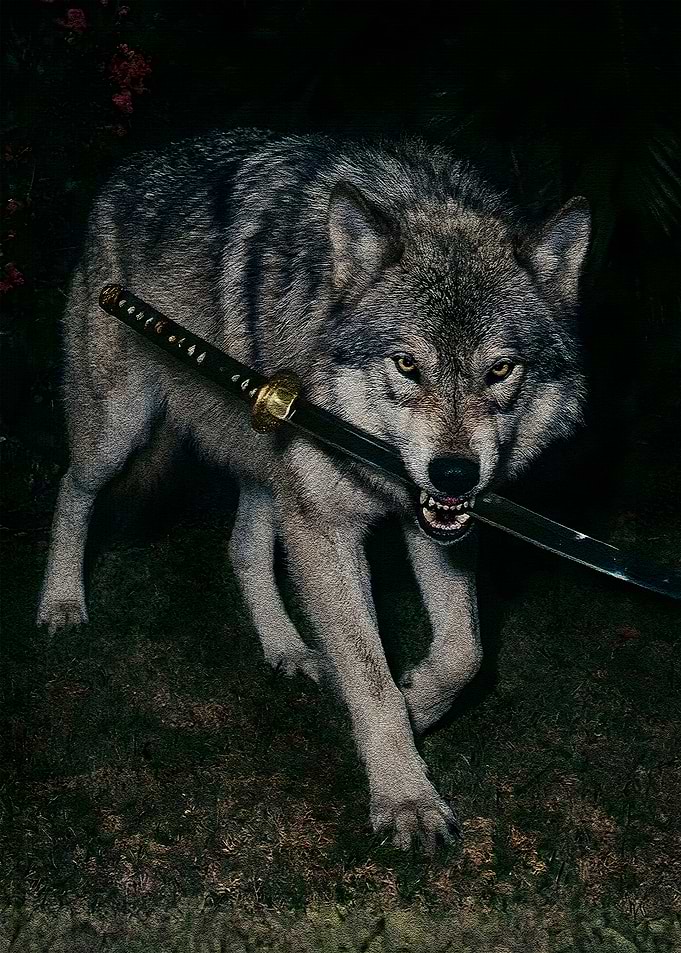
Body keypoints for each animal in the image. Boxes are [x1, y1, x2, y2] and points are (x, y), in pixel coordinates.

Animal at [37, 130, 590, 850]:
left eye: (500, 370)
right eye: (406, 365)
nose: (455, 474)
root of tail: (127, 169)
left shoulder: (428, 525)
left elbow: (463, 654)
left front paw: (416, 704)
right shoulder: (326, 528)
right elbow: (369, 673)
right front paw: (405, 796)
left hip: (267, 474)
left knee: (243, 550)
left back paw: (287, 648)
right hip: (119, 432)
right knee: (71, 490)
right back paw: (60, 603)